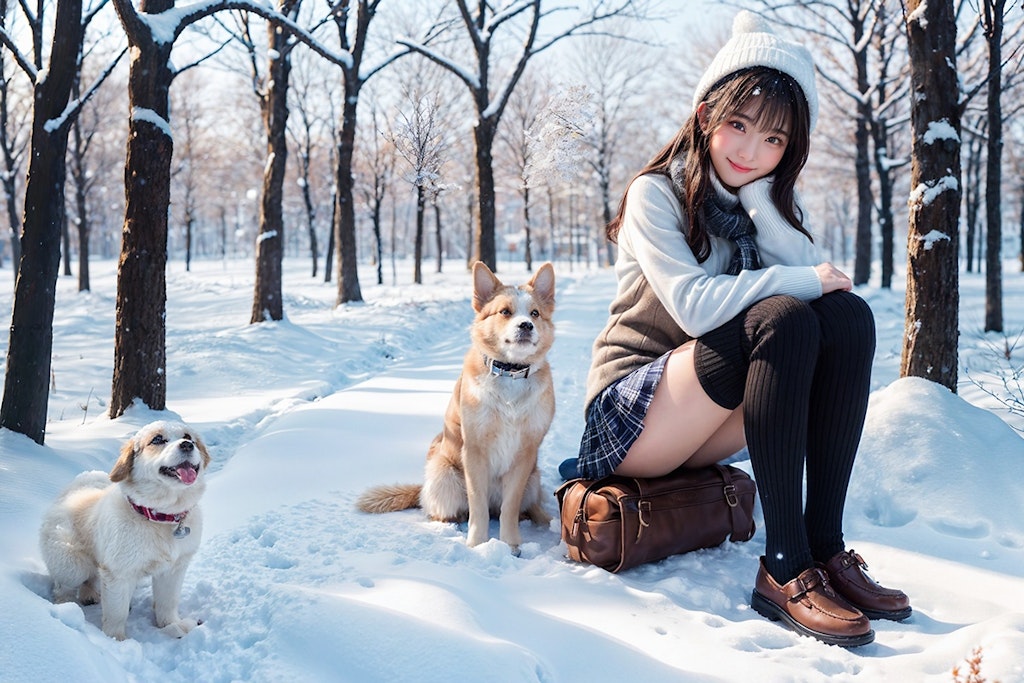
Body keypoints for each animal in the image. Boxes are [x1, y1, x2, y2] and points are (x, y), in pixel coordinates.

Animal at [38, 421, 209, 643]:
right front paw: (115, 641)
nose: (187, 445)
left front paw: (171, 626)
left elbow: (167, 602)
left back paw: (90, 595)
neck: (160, 518)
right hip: (73, 564)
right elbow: (116, 614)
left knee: (90, 580)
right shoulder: (118, 573)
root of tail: (73, 488)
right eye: (157, 440)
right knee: (64, 587)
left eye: (188, 436)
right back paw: (66, 608)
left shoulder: (174, 569)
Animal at [358, 262, 557, 557]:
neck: (509, 374)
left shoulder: (525, 454)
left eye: (535, 313)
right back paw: (449, 525)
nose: (526, 325)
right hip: (444, 475)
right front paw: (477, 544)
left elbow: (510, 508)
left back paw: (547, 520)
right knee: (445, 511)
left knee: (525, 507)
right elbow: (477, 505)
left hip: (533, 478)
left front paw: (510, 544)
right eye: (505, 311)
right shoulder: (474, 450)